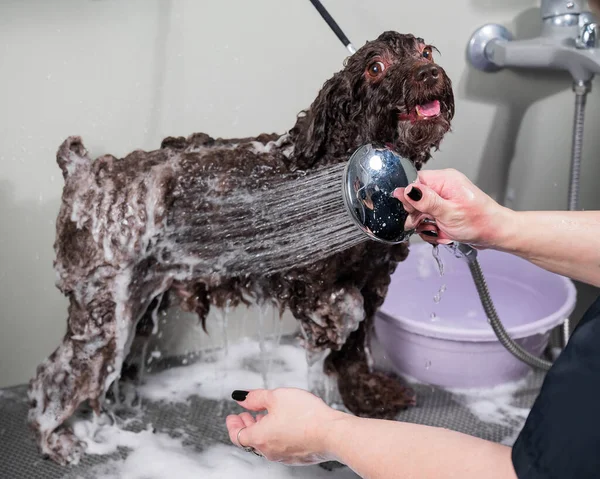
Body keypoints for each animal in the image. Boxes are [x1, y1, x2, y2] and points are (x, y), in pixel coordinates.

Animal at [25, 31, 452, 464]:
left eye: (426, 52)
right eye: (375, 67)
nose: (429, 74)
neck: (337, 161)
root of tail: (83, 170)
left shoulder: (372, 279)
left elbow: (355, 347)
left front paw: (369, 395)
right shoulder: (312, 283)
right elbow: (343, 317)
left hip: (136, 295)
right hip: (104, 308)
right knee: (55, 372)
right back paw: (55, 438)